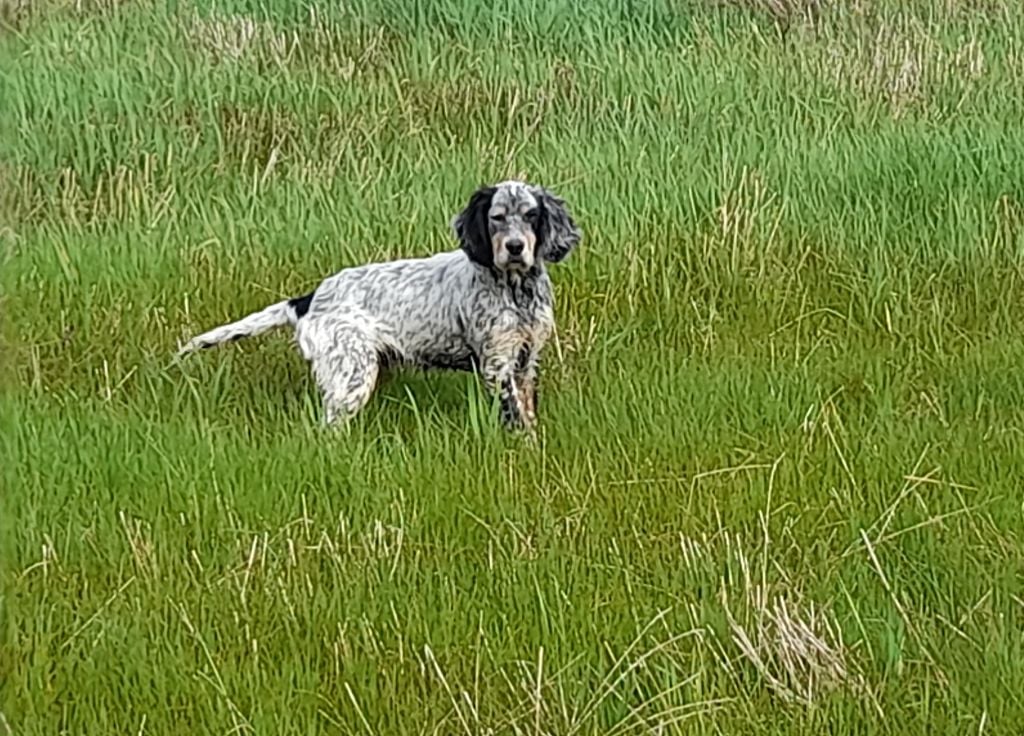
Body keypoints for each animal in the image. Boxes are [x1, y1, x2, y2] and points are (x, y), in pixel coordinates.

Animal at [179, 180, 581, 431]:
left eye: (531, 215)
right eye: (496, 218)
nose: (514, 247)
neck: (516, 289)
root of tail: (308, 300)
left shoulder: (525, 360)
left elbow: (527, 412)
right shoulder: (497, 364)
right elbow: (516, 417)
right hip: (352, 373)